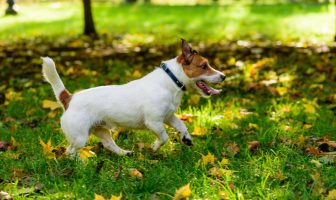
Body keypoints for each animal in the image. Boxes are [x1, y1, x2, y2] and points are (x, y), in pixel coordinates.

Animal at [42, 38, 226, 156]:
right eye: (204, 66)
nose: (223, 76)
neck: (171, 80)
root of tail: (69, 98)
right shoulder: (154, 122)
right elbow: (164, 137)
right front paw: (154, 147)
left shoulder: (168, 116)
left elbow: (181, 125)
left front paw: (186, 138)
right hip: (80, 137)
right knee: (70, 151)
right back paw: (79, 164)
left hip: (101, 129)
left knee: (109, 144)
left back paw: (125, 153)